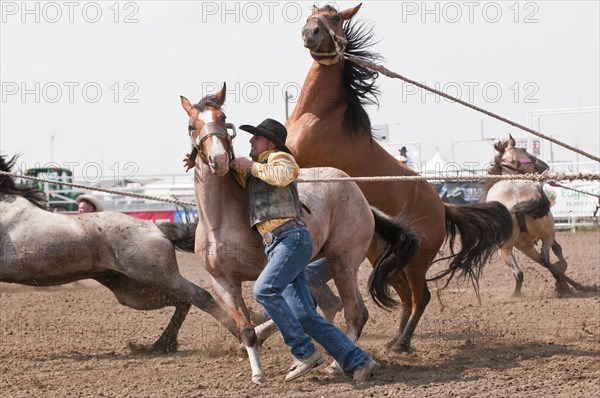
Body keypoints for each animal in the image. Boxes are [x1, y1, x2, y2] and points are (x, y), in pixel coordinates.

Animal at [0, 155, 237, 352]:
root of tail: (158, 229)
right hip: (134, 291)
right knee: (183, 301)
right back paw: (158, 345)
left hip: (157, 276)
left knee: (199, 296)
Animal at [284, 3, 512, 352]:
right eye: (311, 16)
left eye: (335, 18)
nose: (311, 32)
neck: (317, 115)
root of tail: (442, 206)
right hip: (389, 257)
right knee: (406, 297)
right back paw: (395, 339)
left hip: (417, 261)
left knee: (422, 297)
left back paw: (403, 342)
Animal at [482, 137, 592, 296]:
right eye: (524, 150)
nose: (545, 166)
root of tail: (515, 201)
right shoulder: (527, 245)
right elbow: (554, 251)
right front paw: (566, 279)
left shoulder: (525, 245)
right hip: (539, 237)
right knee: (544, 257)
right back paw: (562, 282)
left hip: (506, 247)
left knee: (522, 270)